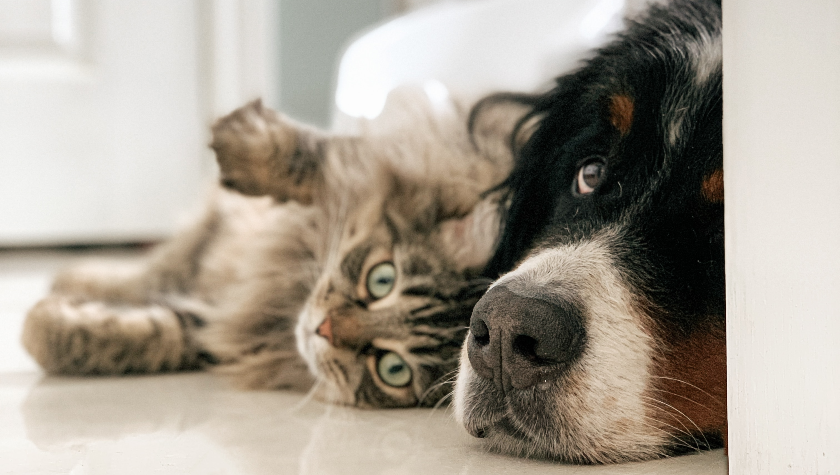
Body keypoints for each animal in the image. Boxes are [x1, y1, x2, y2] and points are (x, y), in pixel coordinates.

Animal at [21, 88, 520, 410]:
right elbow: (315, 156)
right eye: (382, 280)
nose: (323, 329)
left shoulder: (218, 327)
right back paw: (73, 275)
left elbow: (149, 333)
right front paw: (241, 140)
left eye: (392, 369)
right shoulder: (397, 161)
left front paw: (40, 326)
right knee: (152, 269)